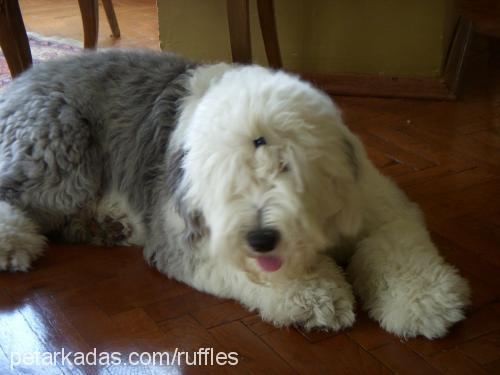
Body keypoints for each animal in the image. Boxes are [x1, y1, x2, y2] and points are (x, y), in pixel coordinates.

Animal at [0, 48, 468, 340]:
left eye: (285, 166)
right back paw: (15, 242)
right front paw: (316, 297)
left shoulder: (376, 203)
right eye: (225, 181)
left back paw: (104, 225)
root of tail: (20, 80)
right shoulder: (184, 237)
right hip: (59, 149)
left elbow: (398, 245)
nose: (261, 238)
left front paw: (426, 303)